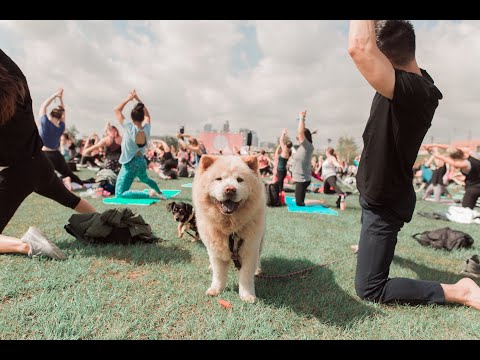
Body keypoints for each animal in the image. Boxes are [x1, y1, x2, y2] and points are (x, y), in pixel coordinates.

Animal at [191, 155, 266, 304]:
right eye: (219, 179)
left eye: (240, 180)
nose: (230, 189)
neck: (230, 228)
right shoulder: (215, 250)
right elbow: (218, 274)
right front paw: (215, 290)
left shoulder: (249, 249)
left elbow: (246, 276)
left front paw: (247, 296)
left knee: (258, 256)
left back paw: (257, 269)